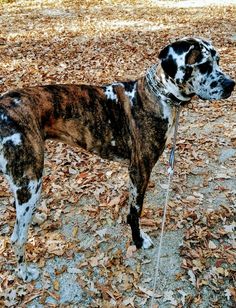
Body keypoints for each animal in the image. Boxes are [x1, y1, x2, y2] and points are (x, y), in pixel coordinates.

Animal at [0, 38, 234, 282]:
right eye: (203, 65)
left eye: (218, 60)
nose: (231, 84)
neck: (156, 95)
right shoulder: (140, 170)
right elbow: (135, 211)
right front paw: (138, 240)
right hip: (31, 180)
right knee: (17, 237)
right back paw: (24, 272)